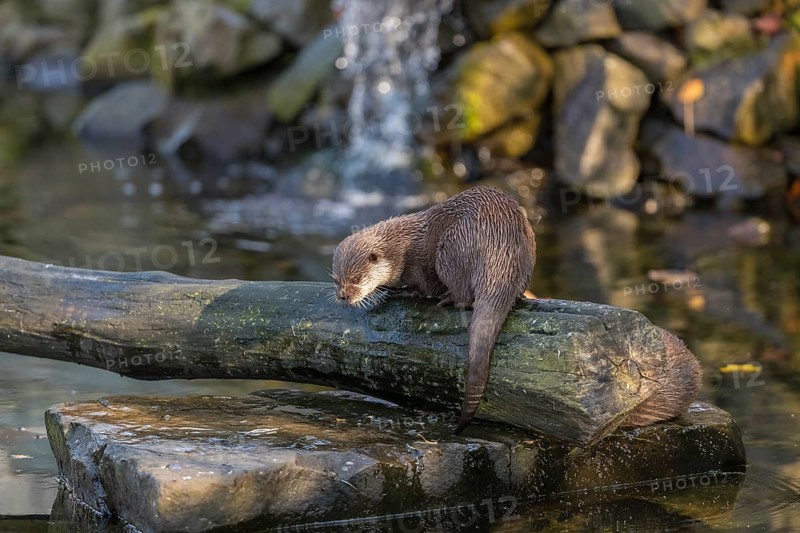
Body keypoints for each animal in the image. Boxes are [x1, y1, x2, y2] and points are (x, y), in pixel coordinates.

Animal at [331, 186, 536, 433]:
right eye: (336, 280)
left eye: (356, 278)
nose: (344, 296)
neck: (400, 249)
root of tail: (502, 249)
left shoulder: (415, 265)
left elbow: (421, 287)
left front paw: (401, 291)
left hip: (451, 248)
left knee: (464, 297)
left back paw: (447, 298)